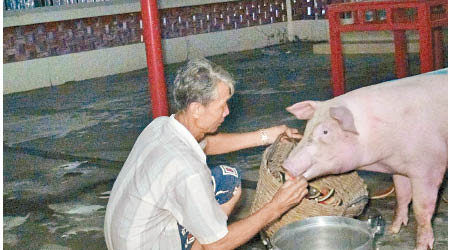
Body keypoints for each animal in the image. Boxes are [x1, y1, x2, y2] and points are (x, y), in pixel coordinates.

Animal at [284, 69, 446, 250]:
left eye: (325, 132)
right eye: (306, 128)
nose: (286, 165)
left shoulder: (430, 167)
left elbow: (421, 208)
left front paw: (421, 247)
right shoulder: (399, 167)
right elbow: (402, 195)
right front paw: (394, 229)